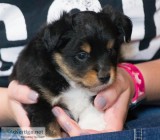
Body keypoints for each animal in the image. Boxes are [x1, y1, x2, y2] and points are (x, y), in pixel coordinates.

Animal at [10, 5, 132, 139]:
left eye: (110, 50)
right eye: (82, 55)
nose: (105, 77)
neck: (72, 82)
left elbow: (93, 101)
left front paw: (93, 125)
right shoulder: (37, 97)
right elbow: (46, 123)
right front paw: (51, 137)